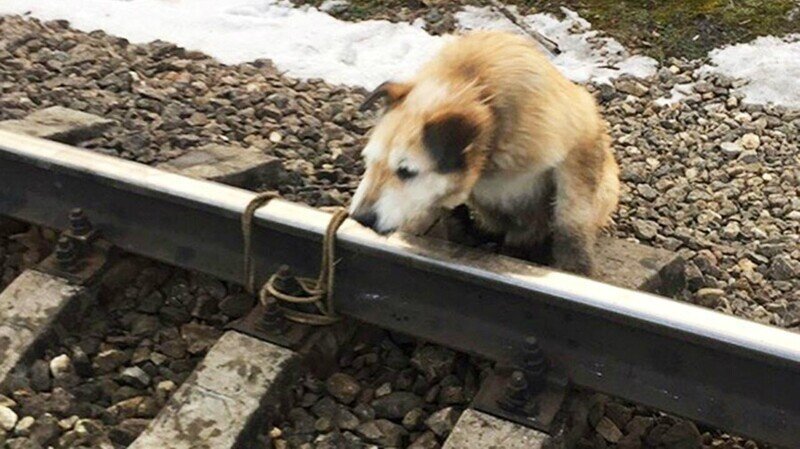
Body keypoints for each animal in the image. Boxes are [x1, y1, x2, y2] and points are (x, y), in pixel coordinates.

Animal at [348, 30, 620, 272]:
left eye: (406, 171)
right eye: (369, 162)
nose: (360, 218)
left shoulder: (580, 142)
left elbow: (571, 218)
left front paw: (575, 266)